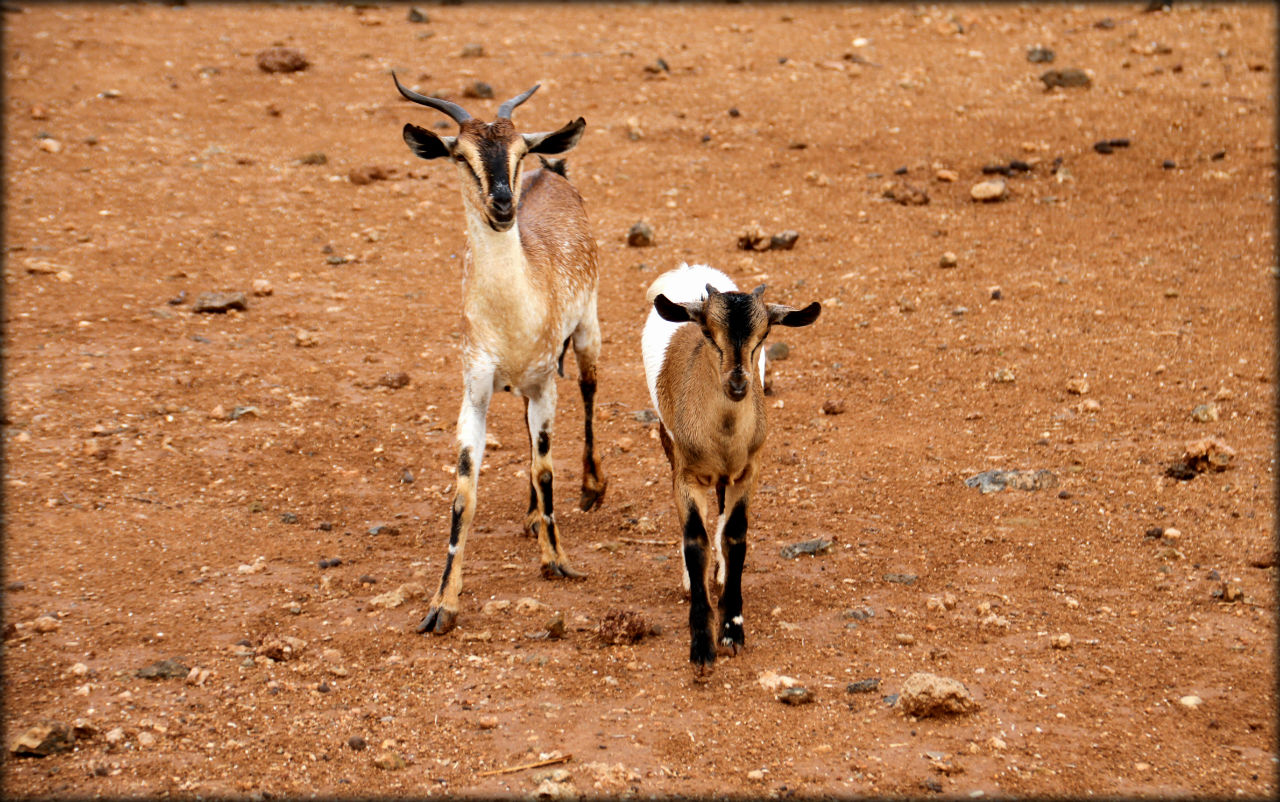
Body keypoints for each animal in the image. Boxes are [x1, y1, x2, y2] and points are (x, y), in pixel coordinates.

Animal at [391, 73, 606, 634]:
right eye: (460, 155)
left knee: (588, 389)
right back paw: (531, 517)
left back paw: (591, 489)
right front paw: (441, 605)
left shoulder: (546, 382)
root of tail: (555, 174)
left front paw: (558, 562)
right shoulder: (477, 391)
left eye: (519, 150)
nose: (504, 206)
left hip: (587, 330)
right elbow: (464, 492)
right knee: (531, 434)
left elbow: (546, 469)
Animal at [640, 264, 819, 675]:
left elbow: (736, 536)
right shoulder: (685, 474)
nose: (737, 383)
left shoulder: (749, 471)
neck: (721, 438)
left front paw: (732, 630)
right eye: (707, 332)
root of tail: (690, 269)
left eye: (764, 334)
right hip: (666, 438)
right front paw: (701, 647)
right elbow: (695, 539)